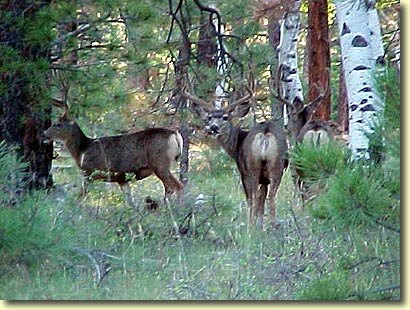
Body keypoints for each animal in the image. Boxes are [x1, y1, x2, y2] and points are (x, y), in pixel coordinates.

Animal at [43, 109, 183, 201]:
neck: (82, 149)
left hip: (160, 164)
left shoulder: (89, 172)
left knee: (178, 186)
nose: (44, 134)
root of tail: (174, 134)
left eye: (58, 125)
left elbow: (81, 195)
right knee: (169, 190)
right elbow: (129, 201)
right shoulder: (122, 179)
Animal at [183, 85, 288, 228]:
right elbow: (262, 202)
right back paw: (273, 225)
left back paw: (250, 226)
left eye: (225, 117)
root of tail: (265, 134)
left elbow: (254, 199)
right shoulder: (264, 180)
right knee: (271, 195)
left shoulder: (243, 172)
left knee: (252, 197)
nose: (214, 128)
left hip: (252, 168)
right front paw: (260, 226)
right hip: (276, 166)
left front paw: (255, 225)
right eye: (209, 117)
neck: (238, 143)